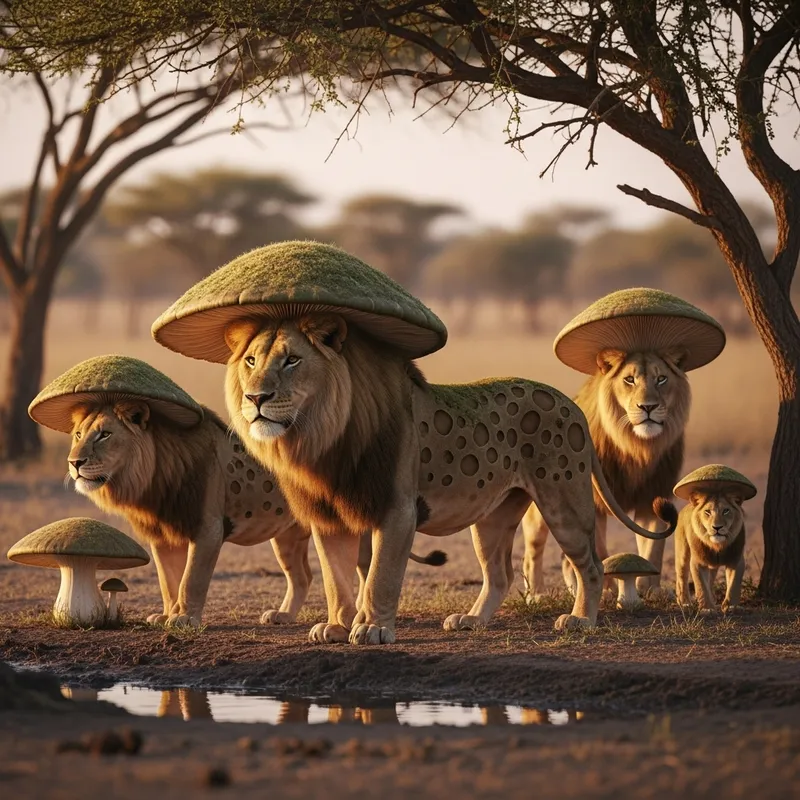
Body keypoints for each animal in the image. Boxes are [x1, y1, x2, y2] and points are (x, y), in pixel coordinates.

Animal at [522, 348, 689, 597]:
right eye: (629, 379)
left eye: (661, 379)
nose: (647, 407)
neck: (636, 448)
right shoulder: (595, 500)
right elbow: (600, 551)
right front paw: (607, 591)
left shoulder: (653, 498)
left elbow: (653, 548)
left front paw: (649, 590)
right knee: (533, 550)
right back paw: (536, 595)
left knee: (567, 557)